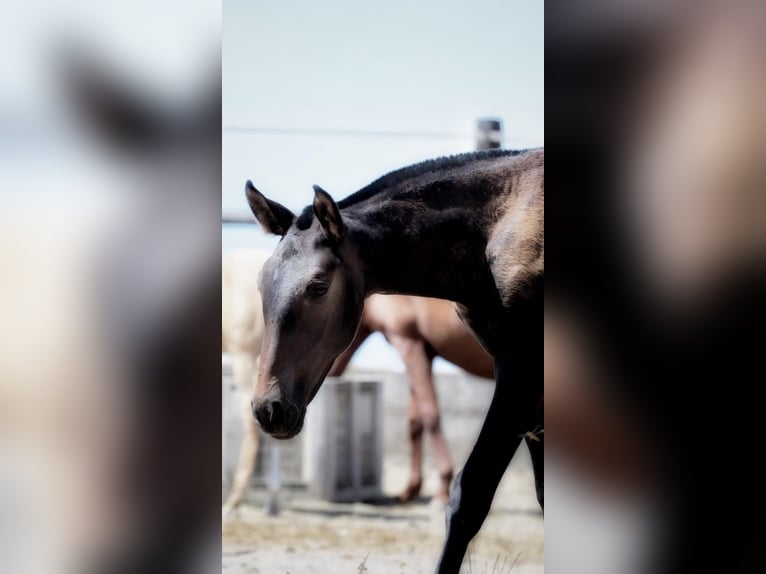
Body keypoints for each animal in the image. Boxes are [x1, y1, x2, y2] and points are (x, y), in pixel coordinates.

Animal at [249, 150, 544, 574]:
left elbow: (469, 495)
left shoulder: (521, 367)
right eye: (261, 283)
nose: (268, 409)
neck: (497, 225)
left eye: (318, 287)